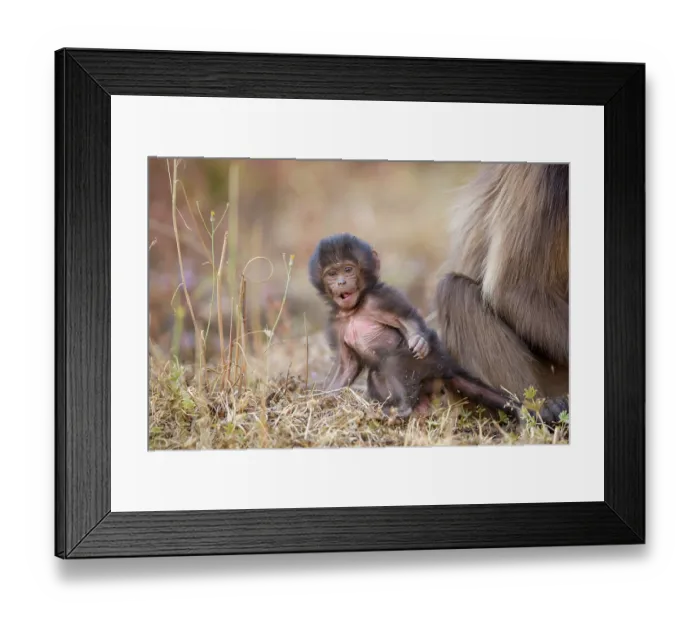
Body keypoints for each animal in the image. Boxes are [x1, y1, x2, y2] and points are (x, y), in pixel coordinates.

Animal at [309, 233, 569, 424]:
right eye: (332, 273)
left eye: (348, 269)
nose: (341, 282)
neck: (354, 310)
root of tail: (445, 367)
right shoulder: (337, 324)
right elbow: (347, 366)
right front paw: (321, 398)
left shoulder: (379, 299)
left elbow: (407, 319)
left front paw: (418, 339)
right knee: (377, 374)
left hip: (425, 364)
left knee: (394, 360)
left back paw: (404, 407)